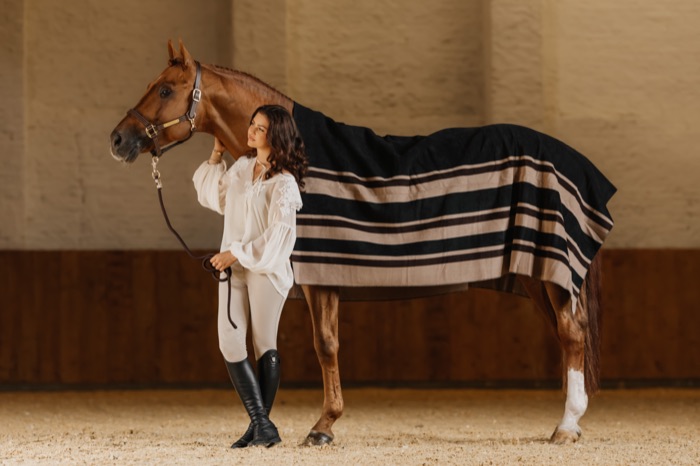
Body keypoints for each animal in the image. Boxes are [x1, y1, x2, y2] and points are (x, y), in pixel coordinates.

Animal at [110, 40, 614, 446]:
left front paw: (323, 426)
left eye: (164, 90)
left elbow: (325, 345)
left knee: (571, 333)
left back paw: (566, 427)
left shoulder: (321, 277)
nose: (118, 139)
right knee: (566, 333)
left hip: (550, 274)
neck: (297, 156)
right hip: (536, 274)